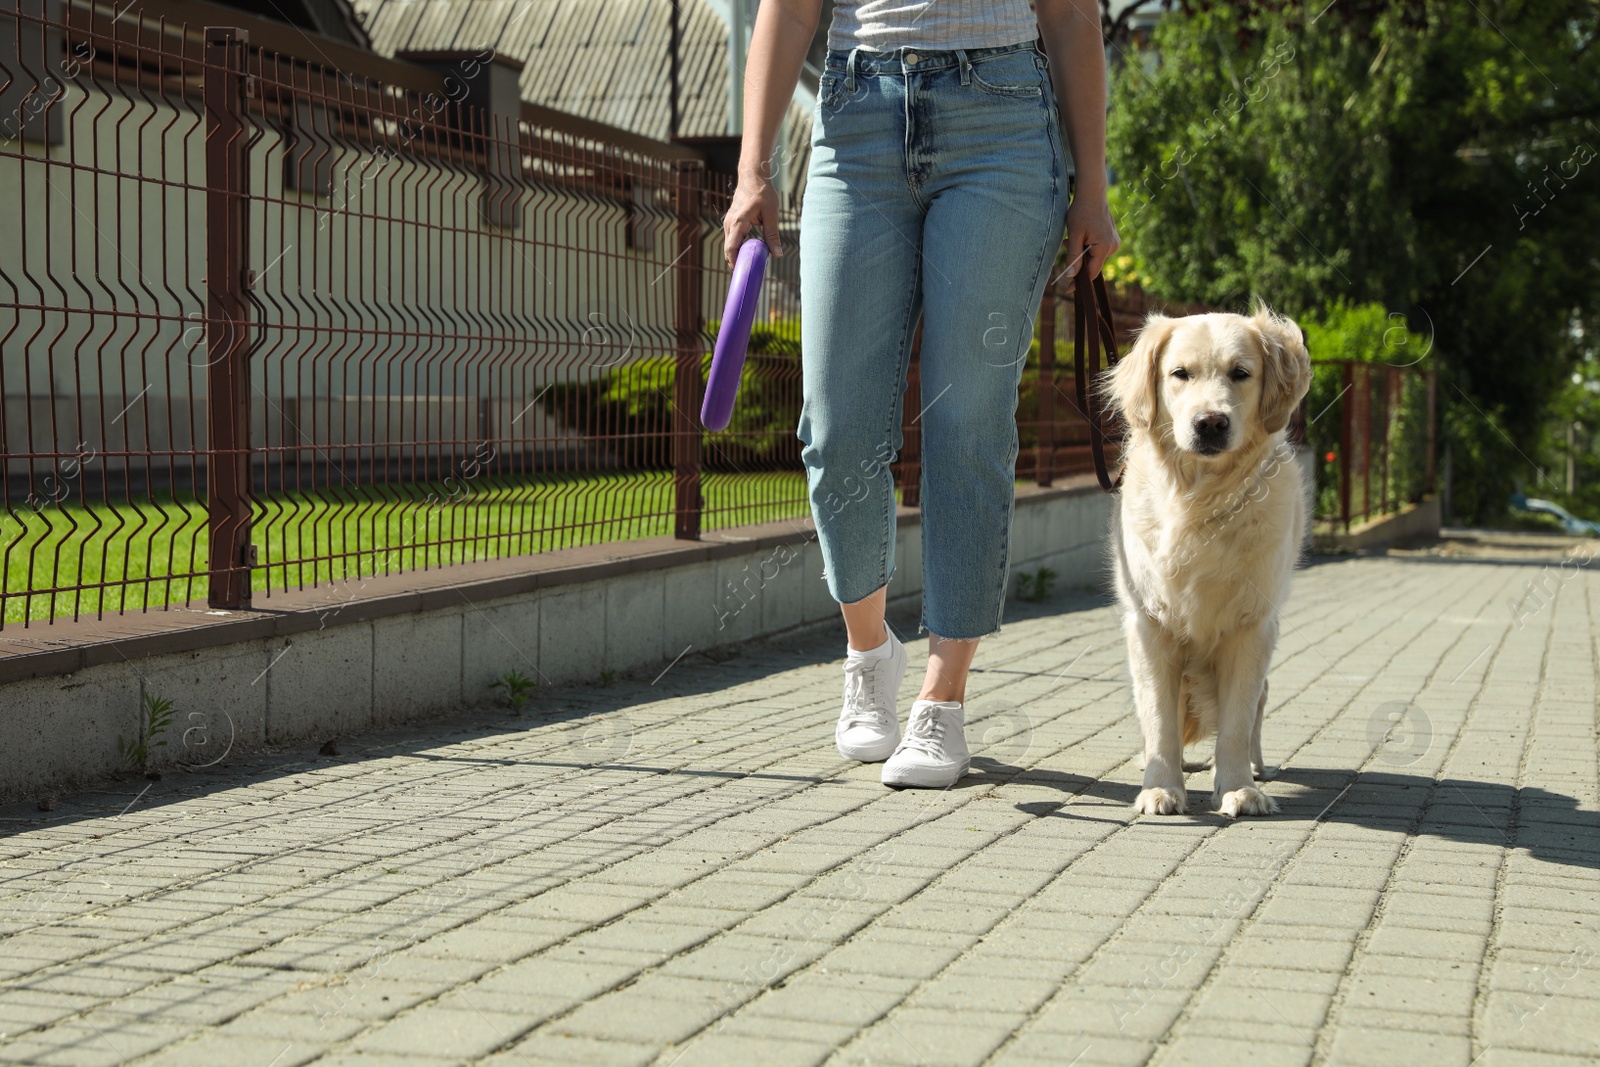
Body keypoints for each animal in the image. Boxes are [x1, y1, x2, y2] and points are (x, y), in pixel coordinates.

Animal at [1107, 303, 1305, 825]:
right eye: (1180, 374)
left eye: (1241, 373)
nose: (1211, 423)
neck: (1201, 499)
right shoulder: (1149, 625)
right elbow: (1158, 718)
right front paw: (1160, 787)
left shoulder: (1253, 626)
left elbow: (1237, 719)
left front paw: (1238, 789)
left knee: (1258, 702)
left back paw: (1255, 768)